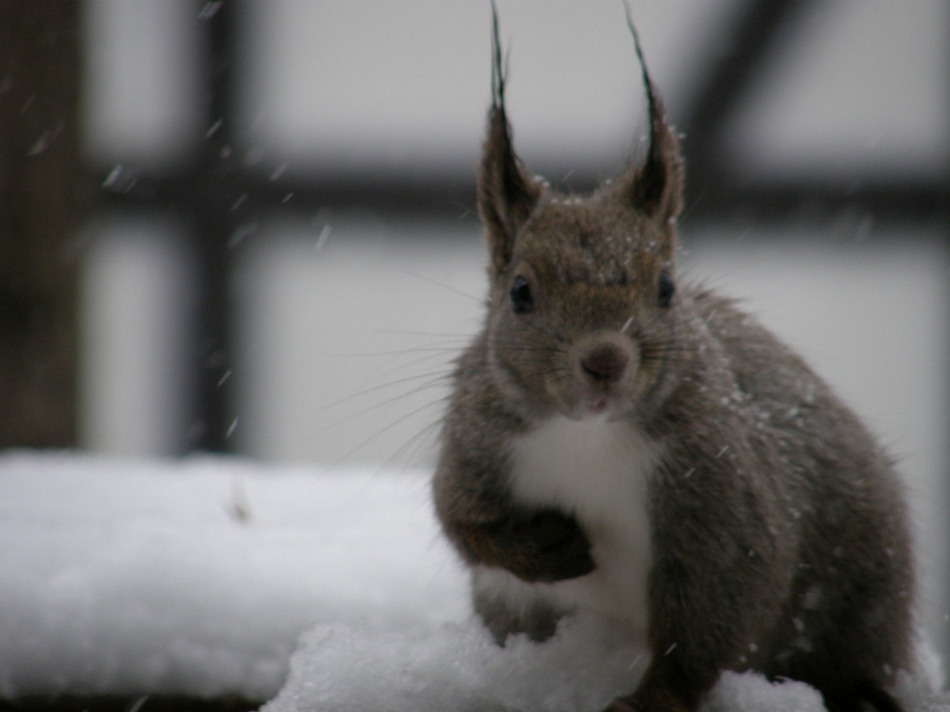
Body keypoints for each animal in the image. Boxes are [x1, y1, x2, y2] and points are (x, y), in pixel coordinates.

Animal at [434, 5, 916, 712]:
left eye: (665, 287)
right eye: (520, 292)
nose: (604, 360)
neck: (586, 435)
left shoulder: (720, 501)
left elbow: (710, 622)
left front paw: (649, 700)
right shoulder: (477, 440)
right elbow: (461, 519)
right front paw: (547, 547)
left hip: (859, 587)